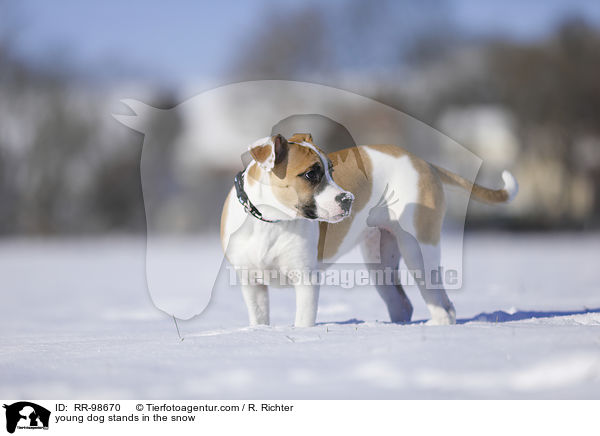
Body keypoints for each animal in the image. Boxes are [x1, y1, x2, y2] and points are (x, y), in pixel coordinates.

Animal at [220, 133, 516, 328]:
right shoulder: (251, 284)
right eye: (311, 174)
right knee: (403, 302)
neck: (270, 222)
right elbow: (259, 319)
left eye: (332, 170)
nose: (348, 199)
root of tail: (423, 162)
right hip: (380, 262)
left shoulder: (306, 280)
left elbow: (303, 322)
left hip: (419, 251)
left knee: (440, 302)